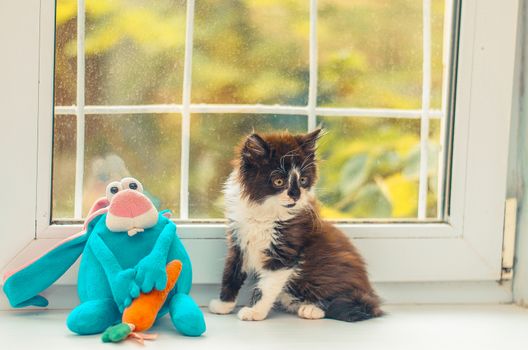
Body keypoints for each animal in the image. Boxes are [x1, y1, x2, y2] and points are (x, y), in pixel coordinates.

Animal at [208, 130, 382, 322]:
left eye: (303, 180)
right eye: (279, 182)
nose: (296, 195)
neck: (265, 212)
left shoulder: (284, 251)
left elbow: (266, 286)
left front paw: (255, 312)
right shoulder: (238, 241)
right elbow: (230, 273)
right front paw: (223, 305)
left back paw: (312, 309)